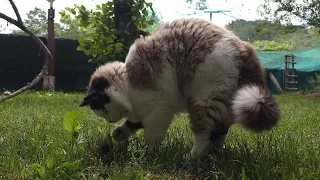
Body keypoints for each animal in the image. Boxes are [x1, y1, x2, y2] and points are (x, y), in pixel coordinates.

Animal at [79, 17, 280, 156]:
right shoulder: (143, 112)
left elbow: (151, 137)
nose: (109, 121)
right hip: (226, 104)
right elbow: (130, 125)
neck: (129, 80)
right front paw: (117, 134)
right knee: (219, 132)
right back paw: (213, 154)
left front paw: (146, 154)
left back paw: (193, 156)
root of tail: (244, 47)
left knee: (204, 132)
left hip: (202, 102)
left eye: (103, 110)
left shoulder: (159, 111)